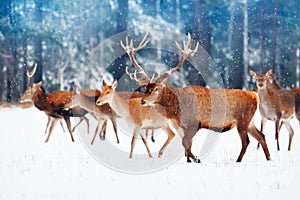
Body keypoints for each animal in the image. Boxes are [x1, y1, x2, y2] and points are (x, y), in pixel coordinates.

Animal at [123, 33, 270, 163]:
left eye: (156, 89)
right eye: (145, 88)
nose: (142, 101)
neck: (177, 110)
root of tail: (255, 95)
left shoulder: (195, 122)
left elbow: (185, 143)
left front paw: (196, 159)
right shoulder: (184, 126)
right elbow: (188, 144)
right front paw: (190, 160)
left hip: (243, 120)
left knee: (246, 141)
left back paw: (238, 161)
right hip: (249, 121)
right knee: (261, 136)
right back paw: (269, 158)